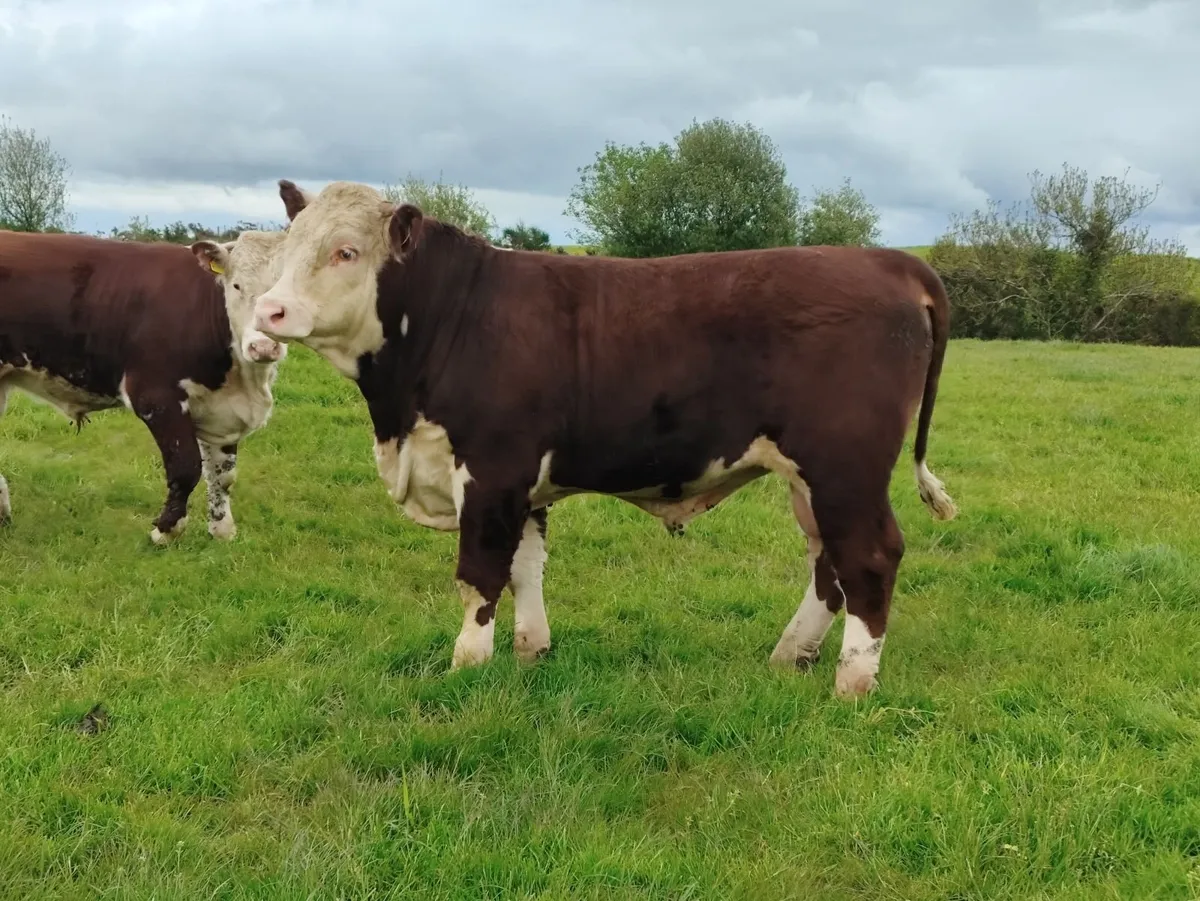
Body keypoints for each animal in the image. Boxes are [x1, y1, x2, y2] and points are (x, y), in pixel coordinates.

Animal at [0, 228, 287, 544]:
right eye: (236, 285)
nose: (264, 346)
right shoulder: (156, 396)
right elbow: (186, 467)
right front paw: (167, 530)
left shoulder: (222, 409)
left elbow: (223, 475)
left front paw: (222, 530)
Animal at [249, 179, 958, 698]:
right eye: (287, 248)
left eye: (346, 251)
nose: (268, 311)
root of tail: (890, 261)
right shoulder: (523, 484)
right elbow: (526, 569)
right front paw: (531, 654)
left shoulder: (492, 469)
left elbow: (479, 575)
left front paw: (465, 668)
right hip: (810, 478)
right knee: (828, 563)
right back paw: (790, 656)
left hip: (845, 467)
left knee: (869, 557)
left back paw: (852, 685)